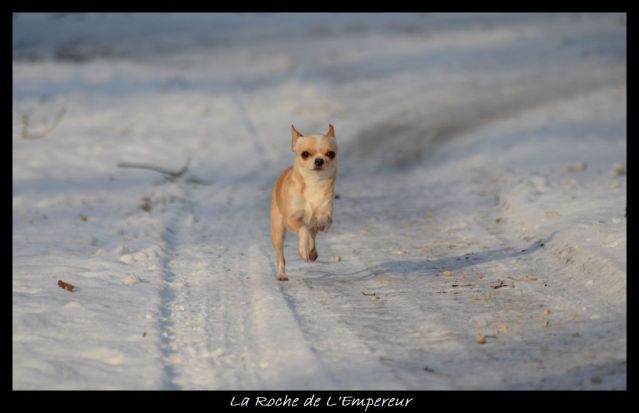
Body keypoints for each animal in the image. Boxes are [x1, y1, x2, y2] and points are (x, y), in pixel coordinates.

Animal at [272, 124, 340, 278]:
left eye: (330, 154)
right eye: (305, 154)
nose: (319, 160)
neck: (314, 182)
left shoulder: (327, 214)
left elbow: (323, 221)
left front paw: (320, 223)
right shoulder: (290, 219)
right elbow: (303, 229)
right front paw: (303, 249)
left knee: (313, 235)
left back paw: (312, 252)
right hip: (278, 231)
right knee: (280, 255)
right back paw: (282, 274)